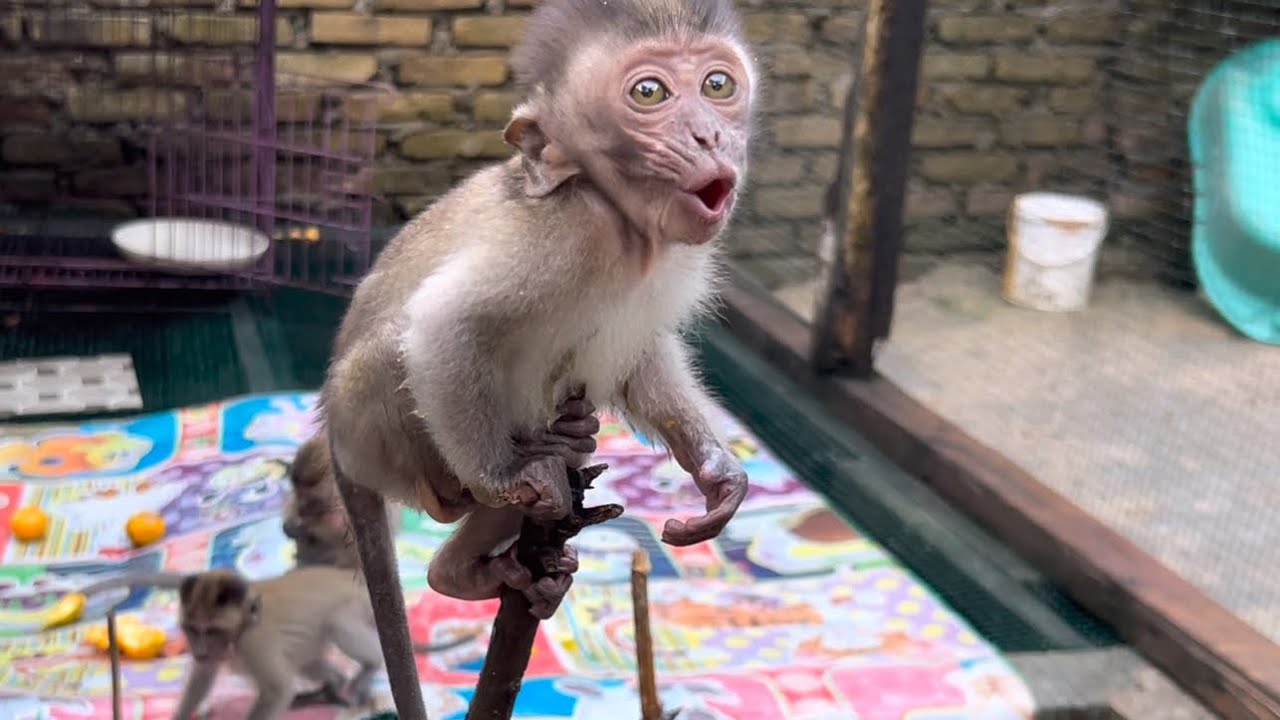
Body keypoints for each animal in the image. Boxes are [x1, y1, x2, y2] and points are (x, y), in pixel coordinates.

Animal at [318, 0, 759, 717]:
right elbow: (442, 324)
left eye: (718, 84)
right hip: (377, 432)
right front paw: (512, 475)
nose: (710, 138)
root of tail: (329, 430)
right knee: (410, 368)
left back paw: (463, 569)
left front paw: (715, 470)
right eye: (649, 94)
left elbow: (641, 358)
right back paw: (495, 489)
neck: (628, 232)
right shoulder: (564, 233)